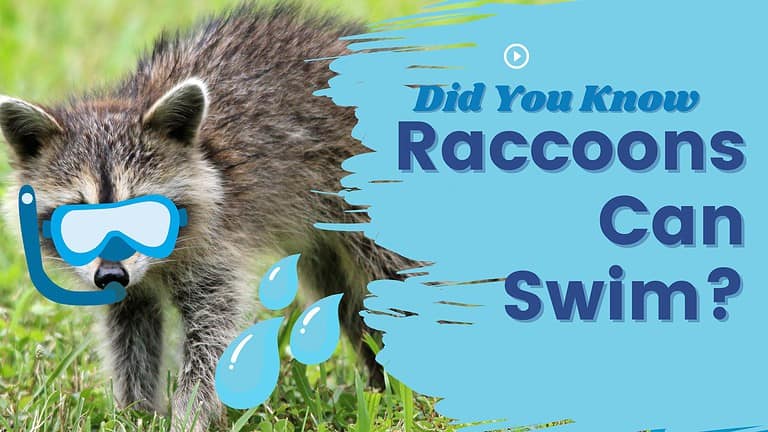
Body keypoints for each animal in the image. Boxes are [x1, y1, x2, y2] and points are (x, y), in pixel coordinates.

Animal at [0, 3, 412, 430]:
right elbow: (129, 331)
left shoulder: (217, 244)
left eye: (144, 212)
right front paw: (135, 410)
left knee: (395, 273)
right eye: (79, 218)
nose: (111, 275)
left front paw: (190, 411)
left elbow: (212, 331)